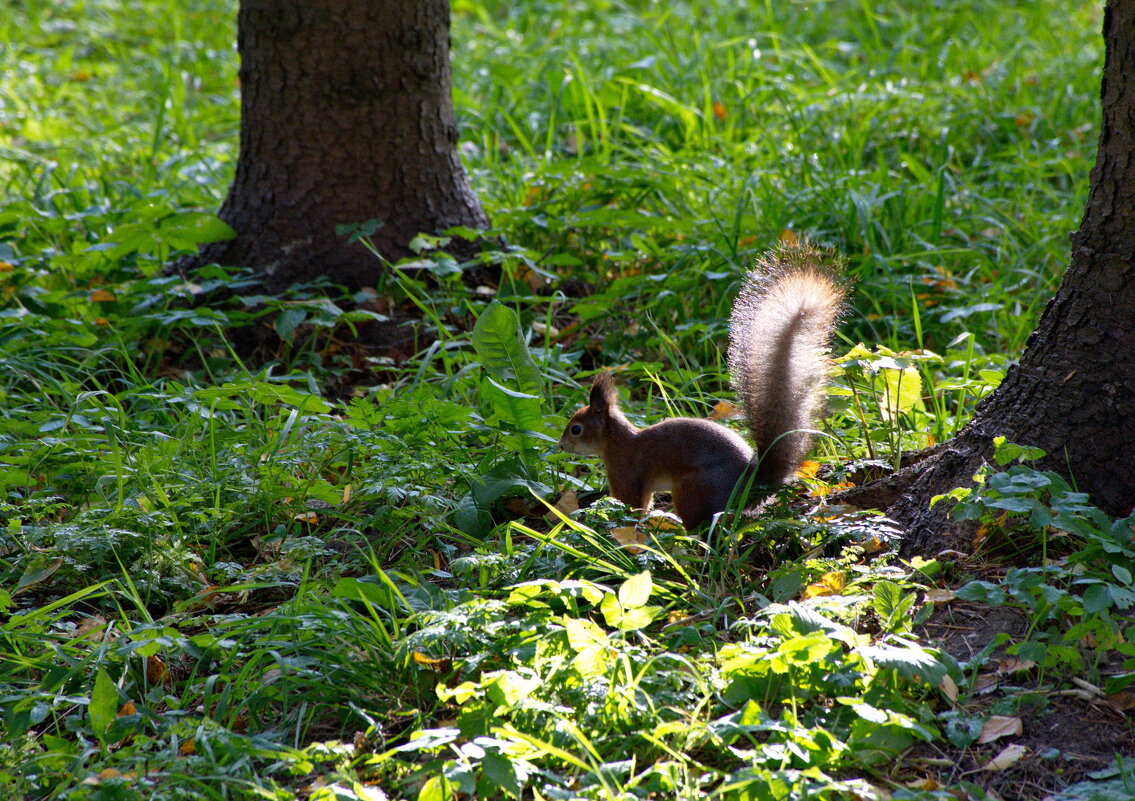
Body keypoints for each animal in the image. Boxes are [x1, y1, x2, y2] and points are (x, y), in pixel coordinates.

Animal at [556, 242, 844, 530]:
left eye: (576, 429)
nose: (560, 446)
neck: (617, 442)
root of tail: (750, 486)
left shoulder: (626, 472)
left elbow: (632, 505)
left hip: (693, 489)